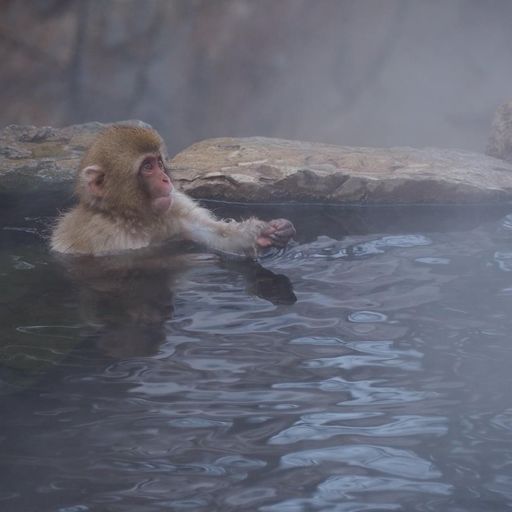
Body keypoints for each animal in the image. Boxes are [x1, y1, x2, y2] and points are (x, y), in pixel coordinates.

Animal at [51, 123, 296, 258]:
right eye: (147, 167)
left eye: (159, 163)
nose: (165, 179)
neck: (133, 217)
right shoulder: (101, 235)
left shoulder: (175, 206)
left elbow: (213, 234)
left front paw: (266, 233)